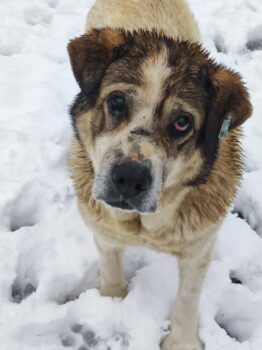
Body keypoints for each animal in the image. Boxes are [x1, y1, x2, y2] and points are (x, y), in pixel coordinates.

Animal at [67, 1, 252, 348]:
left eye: (182, 122)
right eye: (117, 101)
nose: (129, 178)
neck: (145, 226)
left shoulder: (198, 248)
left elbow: (188, 299)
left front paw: (181, 341)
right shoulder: (104, 231)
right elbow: (111, 268)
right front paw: (111, 302)